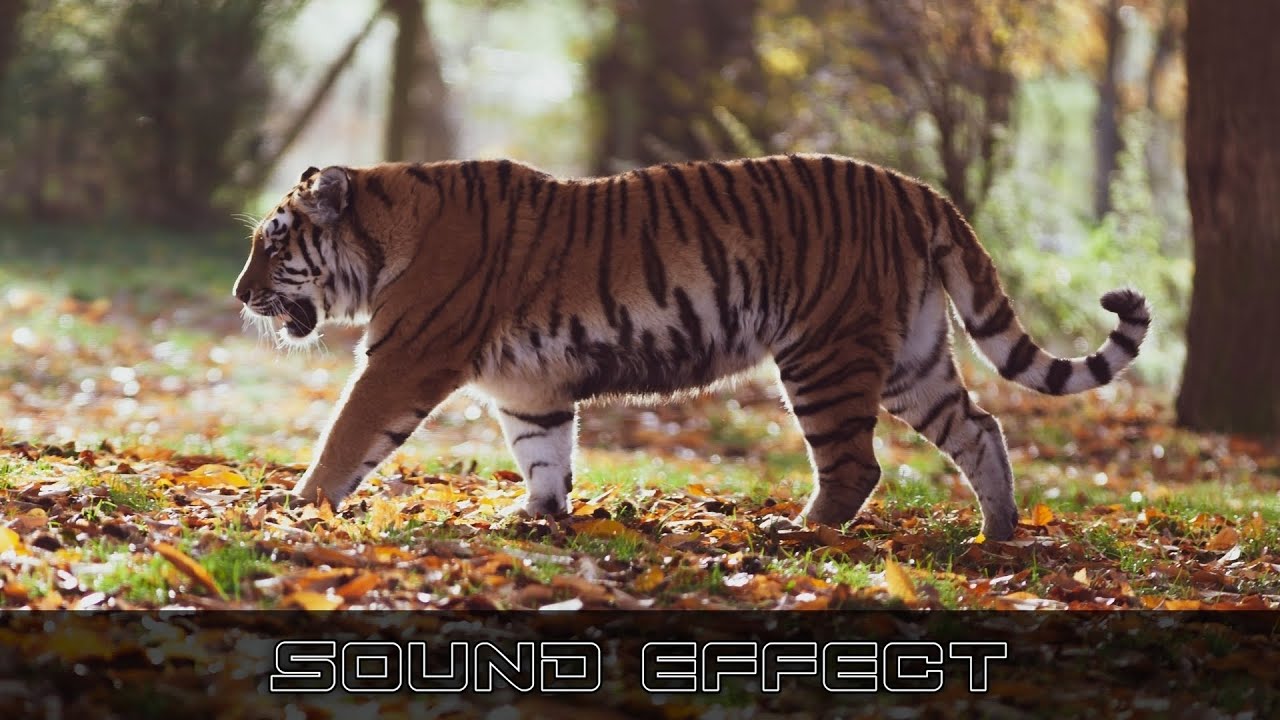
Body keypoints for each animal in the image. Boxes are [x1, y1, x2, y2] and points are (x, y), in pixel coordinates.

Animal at [232, 155, 1150, 541]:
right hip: (911, 359)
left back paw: (798, 533)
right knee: (981, 429)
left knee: (856, 465)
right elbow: (543, 452)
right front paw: (535, 516)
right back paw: (998, 535)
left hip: (824, 353)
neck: (386, 231)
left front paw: (297, 505)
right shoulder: (528, 387)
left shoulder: (404, 359)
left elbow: (346, 435)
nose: (240, 296)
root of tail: (916, 188)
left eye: (273, 246)